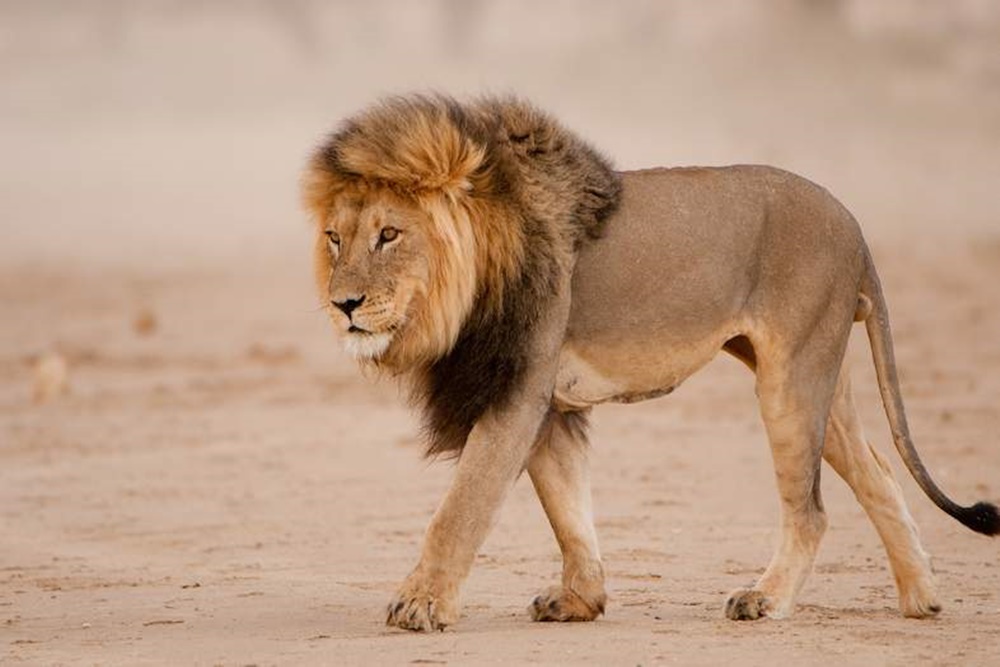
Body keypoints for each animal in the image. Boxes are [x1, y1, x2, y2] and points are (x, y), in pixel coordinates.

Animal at [300, 92, 996, 632]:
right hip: (822, 374)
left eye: (389, 235)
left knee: (812, 510)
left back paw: (767, 599)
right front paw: (580, 600)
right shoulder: (547, 403)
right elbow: (567, 509)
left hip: (791, 380)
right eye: (335, 238)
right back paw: (923, 598)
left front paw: (420, 605)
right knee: (877, 471)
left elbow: (461, 508)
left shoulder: (517, 392)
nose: (343, 305)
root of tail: (854, 223)